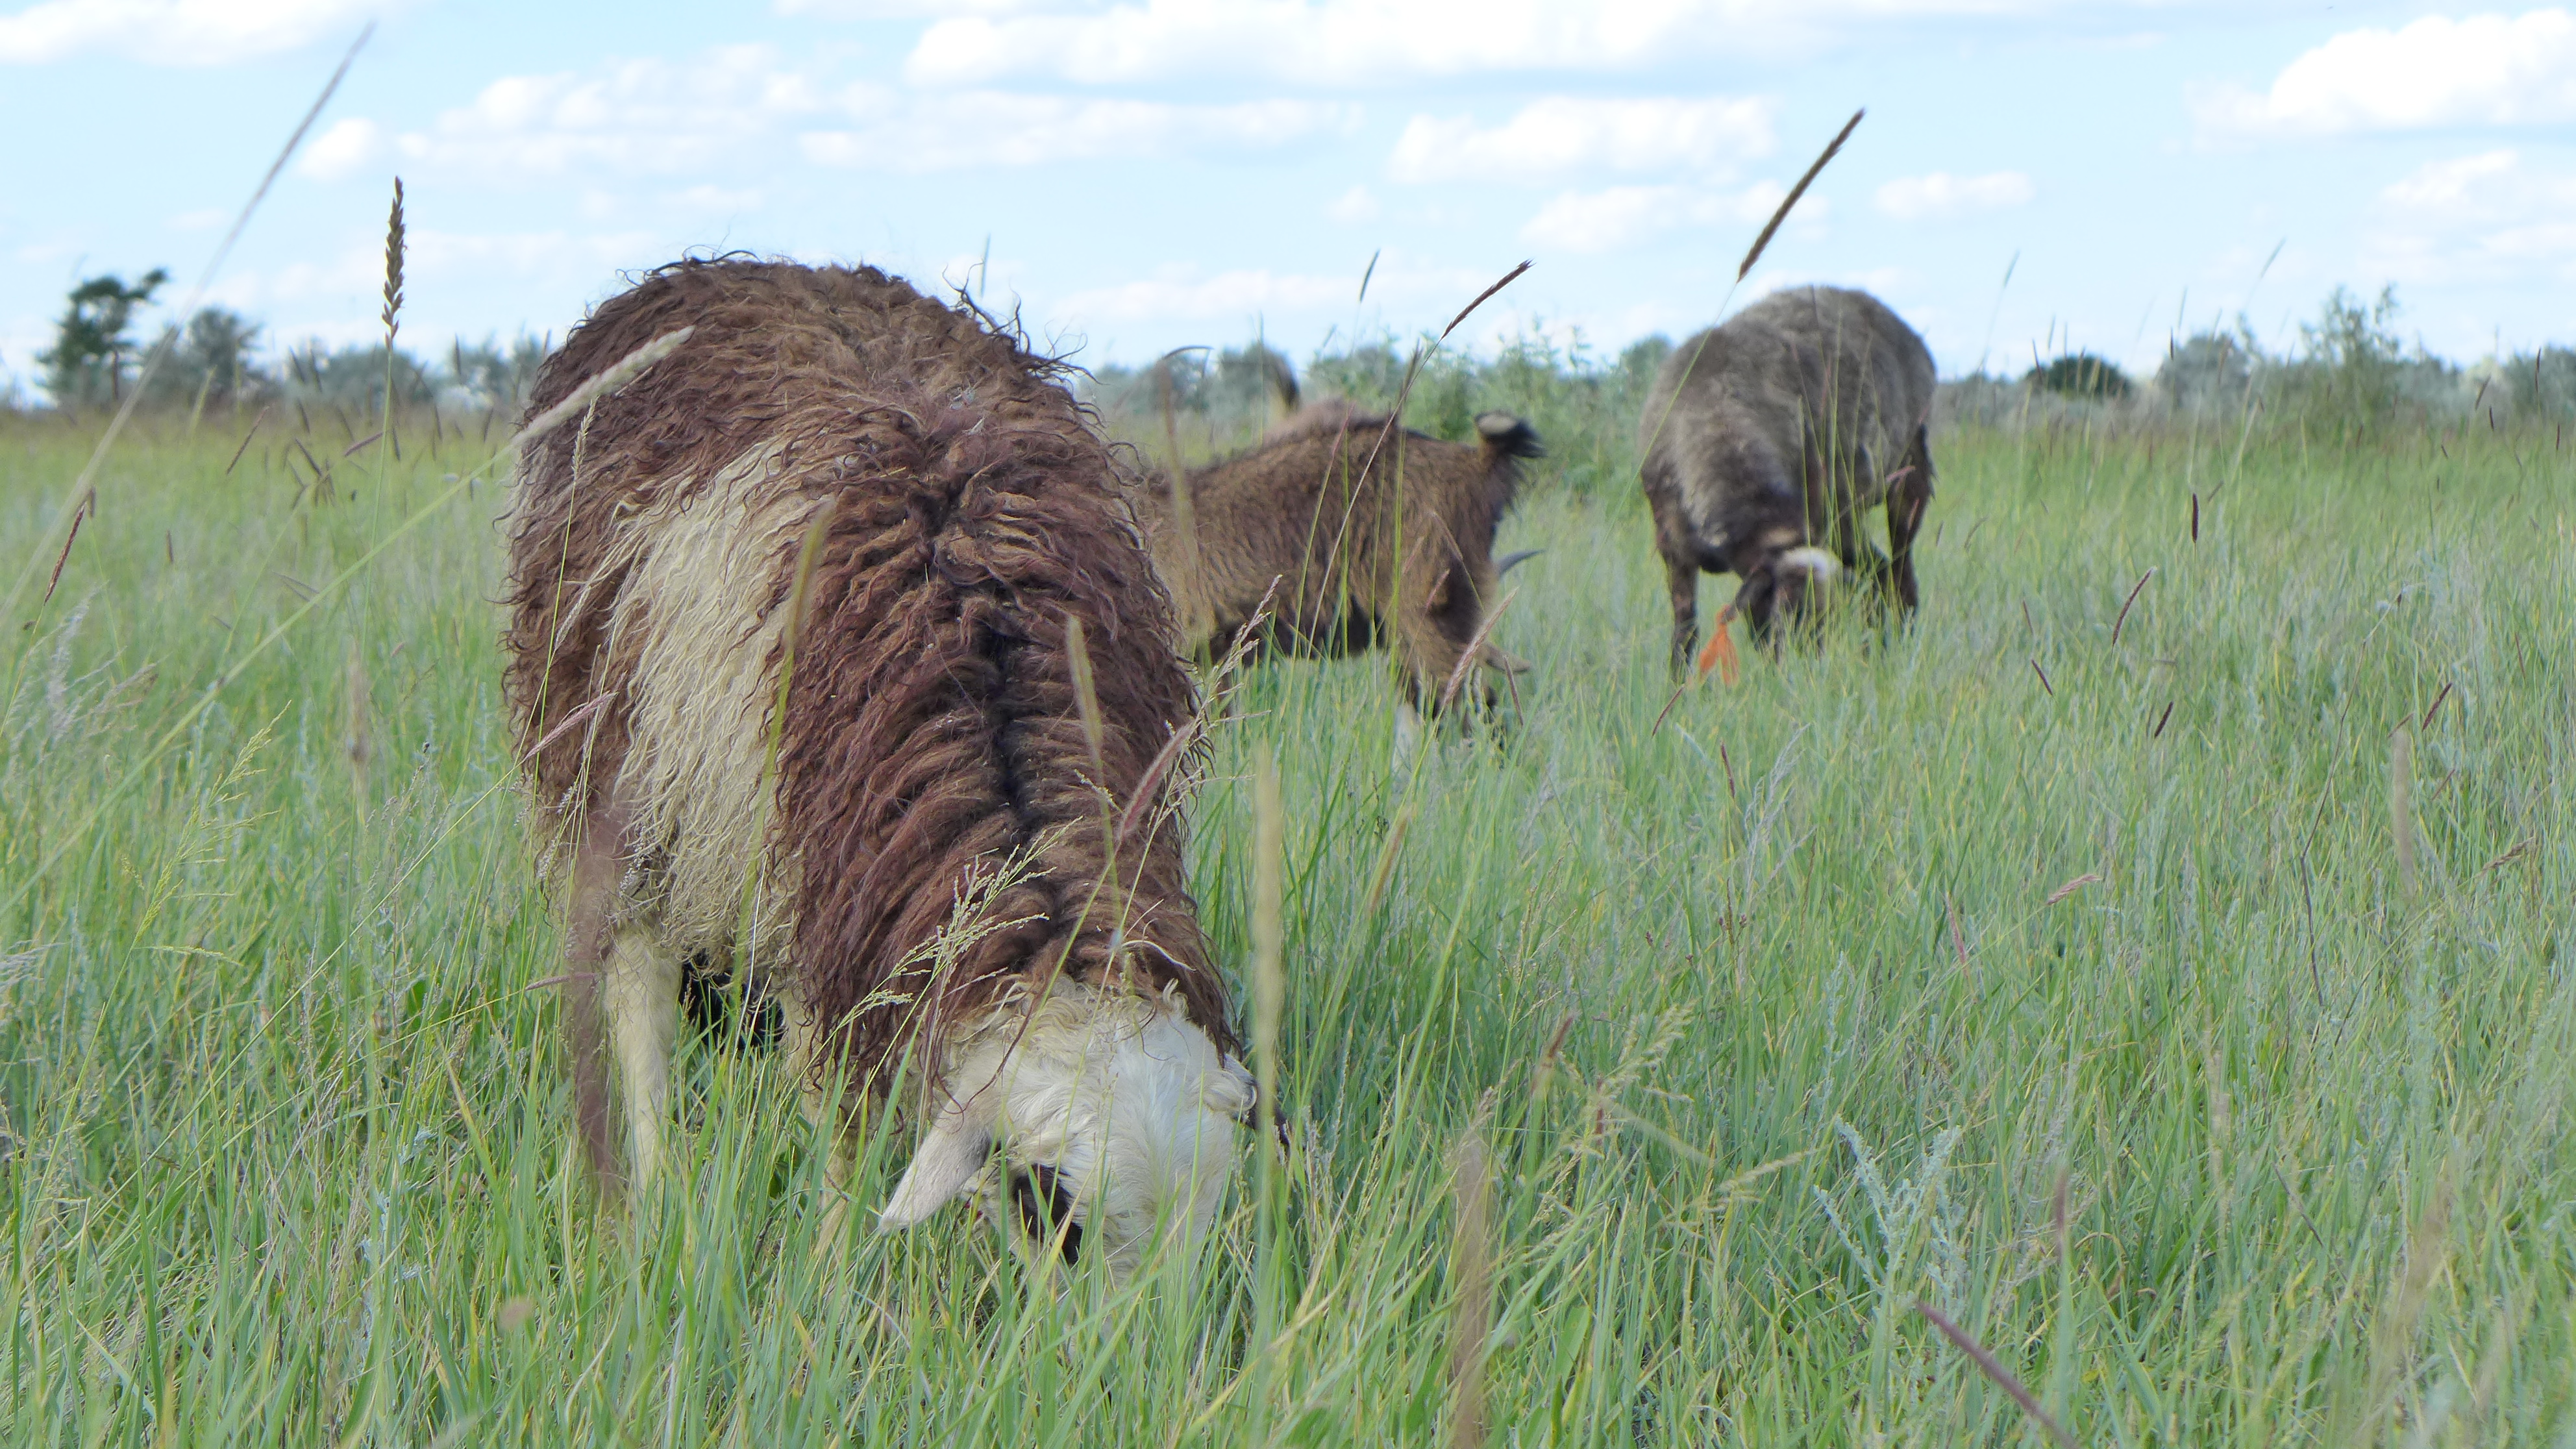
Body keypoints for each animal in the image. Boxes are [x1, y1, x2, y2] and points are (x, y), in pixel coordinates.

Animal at [501, 257, 1251, 1279]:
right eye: (1049, 1213)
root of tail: (746, 263)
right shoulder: (815, 897)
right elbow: (839, 1114)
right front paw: (829, 1270)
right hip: (617, 768)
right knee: (638, 985)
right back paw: (656, 1196)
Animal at [1638, 285, 1936, 674]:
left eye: (1826, 620)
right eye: (1783, 611)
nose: (1810, 675)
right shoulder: (1674, 549)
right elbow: (1685, 629)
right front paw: (1677, 682)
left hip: (1902, 480)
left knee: (1897, 572)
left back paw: (1899, 644)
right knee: (1882, 573)